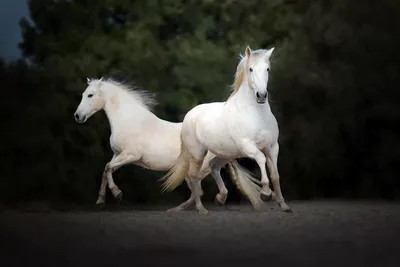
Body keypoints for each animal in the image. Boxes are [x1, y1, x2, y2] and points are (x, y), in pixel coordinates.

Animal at [73, 76, 264, 213]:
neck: (130, 121)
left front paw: (117, 194)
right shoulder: (118, 155)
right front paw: (100, 201)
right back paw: (183, 208)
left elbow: (107, 168)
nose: (77, 116)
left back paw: (189, 208)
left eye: (90, 95)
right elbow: (107, 170)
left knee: (198, 189)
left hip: (197, 169)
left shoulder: (130, 155)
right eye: (83, 94)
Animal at [162, 46, 290, 214]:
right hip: (198, 154)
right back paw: (201, 209)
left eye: (267, 69)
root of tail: (189, 116)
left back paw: (220, 198)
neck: (257, 115)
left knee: (213, 166)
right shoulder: (249, 147)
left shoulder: (273, 147)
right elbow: (261, 159)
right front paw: (266, 193)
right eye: (251, 69)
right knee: (193, 176)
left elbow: (275, 175)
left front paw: (283, 205)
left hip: (226, 154)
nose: (261, 95)